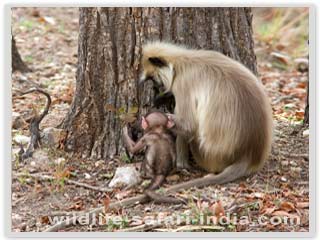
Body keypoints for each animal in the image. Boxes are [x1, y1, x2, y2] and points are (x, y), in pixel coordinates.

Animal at [139, 41, 272, 188]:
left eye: (154, 79)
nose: (156, 87)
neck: (181, 62)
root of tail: (248, 155)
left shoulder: (183, 83)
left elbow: (189, 126)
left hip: (208, 156)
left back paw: (181, 165)